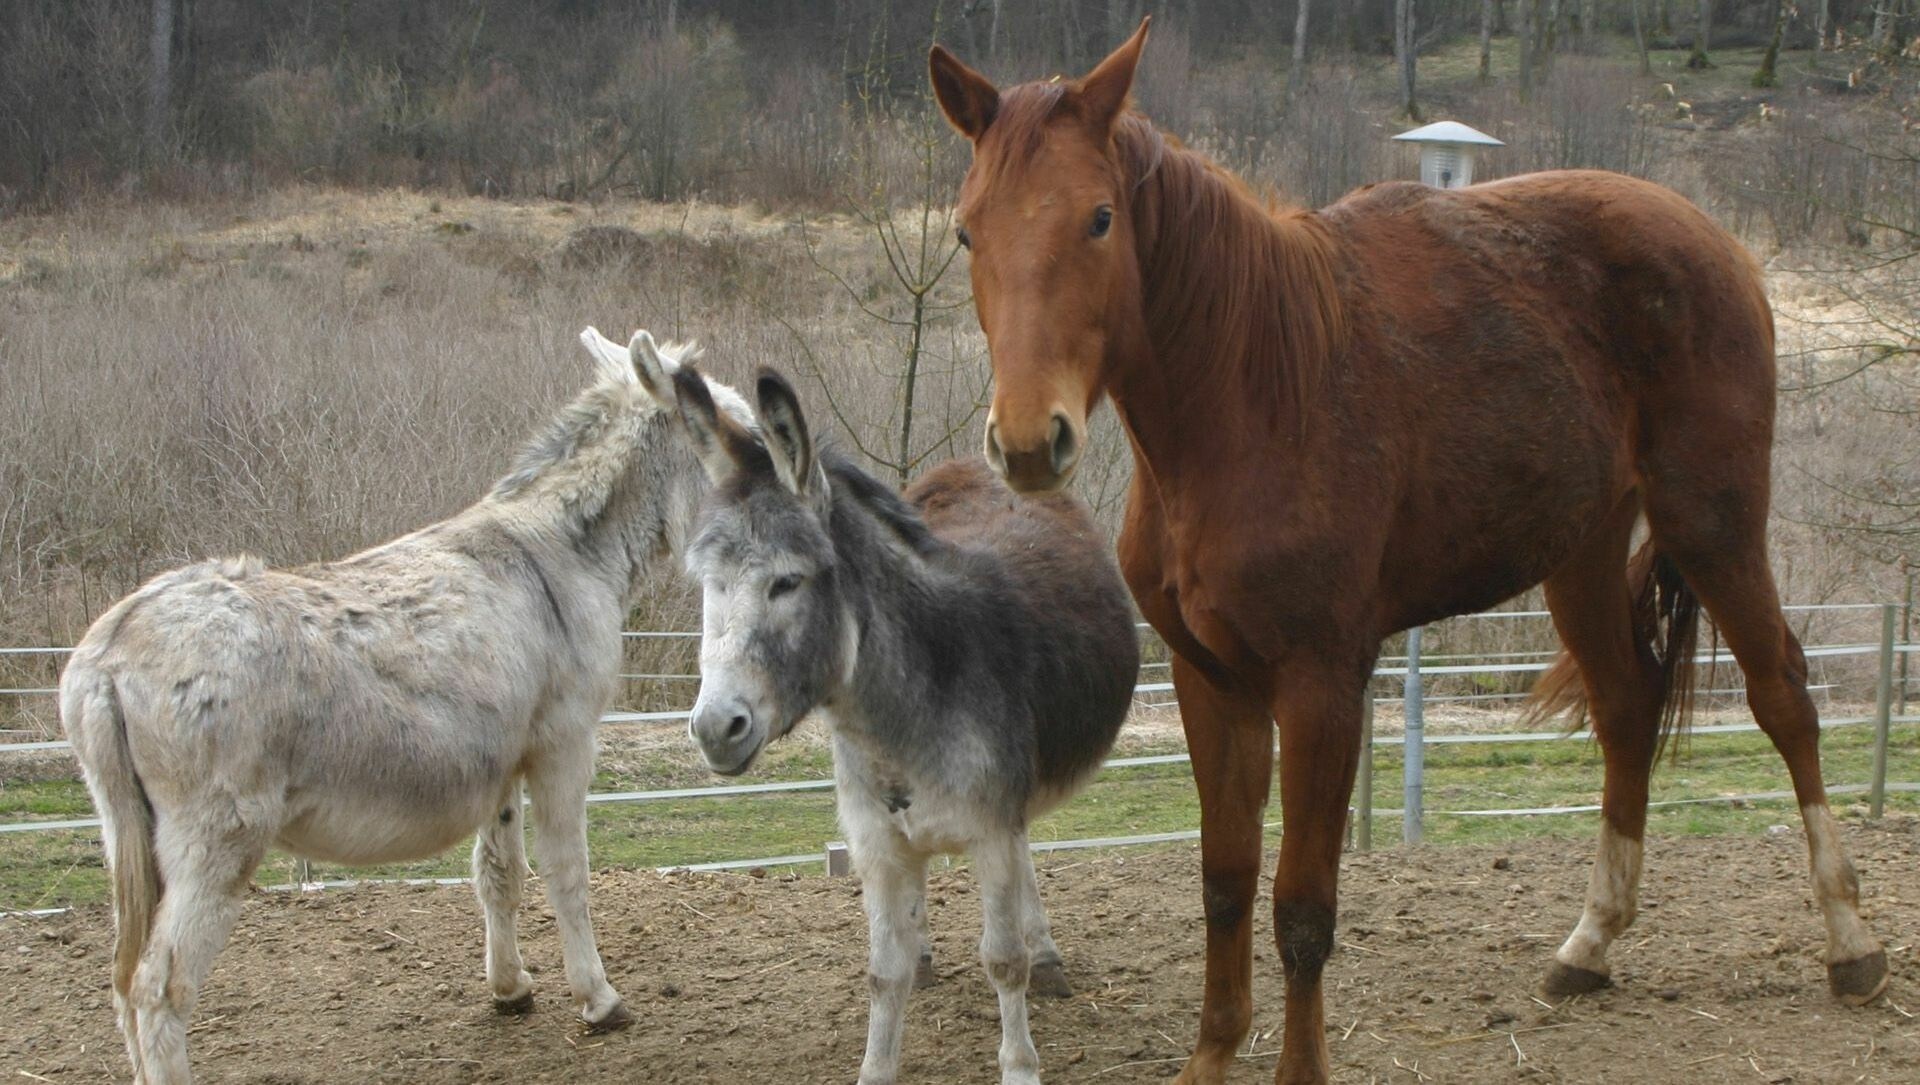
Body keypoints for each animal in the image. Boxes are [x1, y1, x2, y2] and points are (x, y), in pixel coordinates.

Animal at [925, 16, 1889, 1083]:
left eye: (1098, 219)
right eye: (967, 230)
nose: (1027, 442)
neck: (1251, 396)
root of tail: (1715, 239)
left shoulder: (1321, 685)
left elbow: (1301, 908)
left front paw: (1298, 1068)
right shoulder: (1210, 681)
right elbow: (1225, 881)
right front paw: (1213, 1053)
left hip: (1711, 519)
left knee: (1784, 696)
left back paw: (1850, 943)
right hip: (1584, 554)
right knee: (1628, 707)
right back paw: (1589, 944)